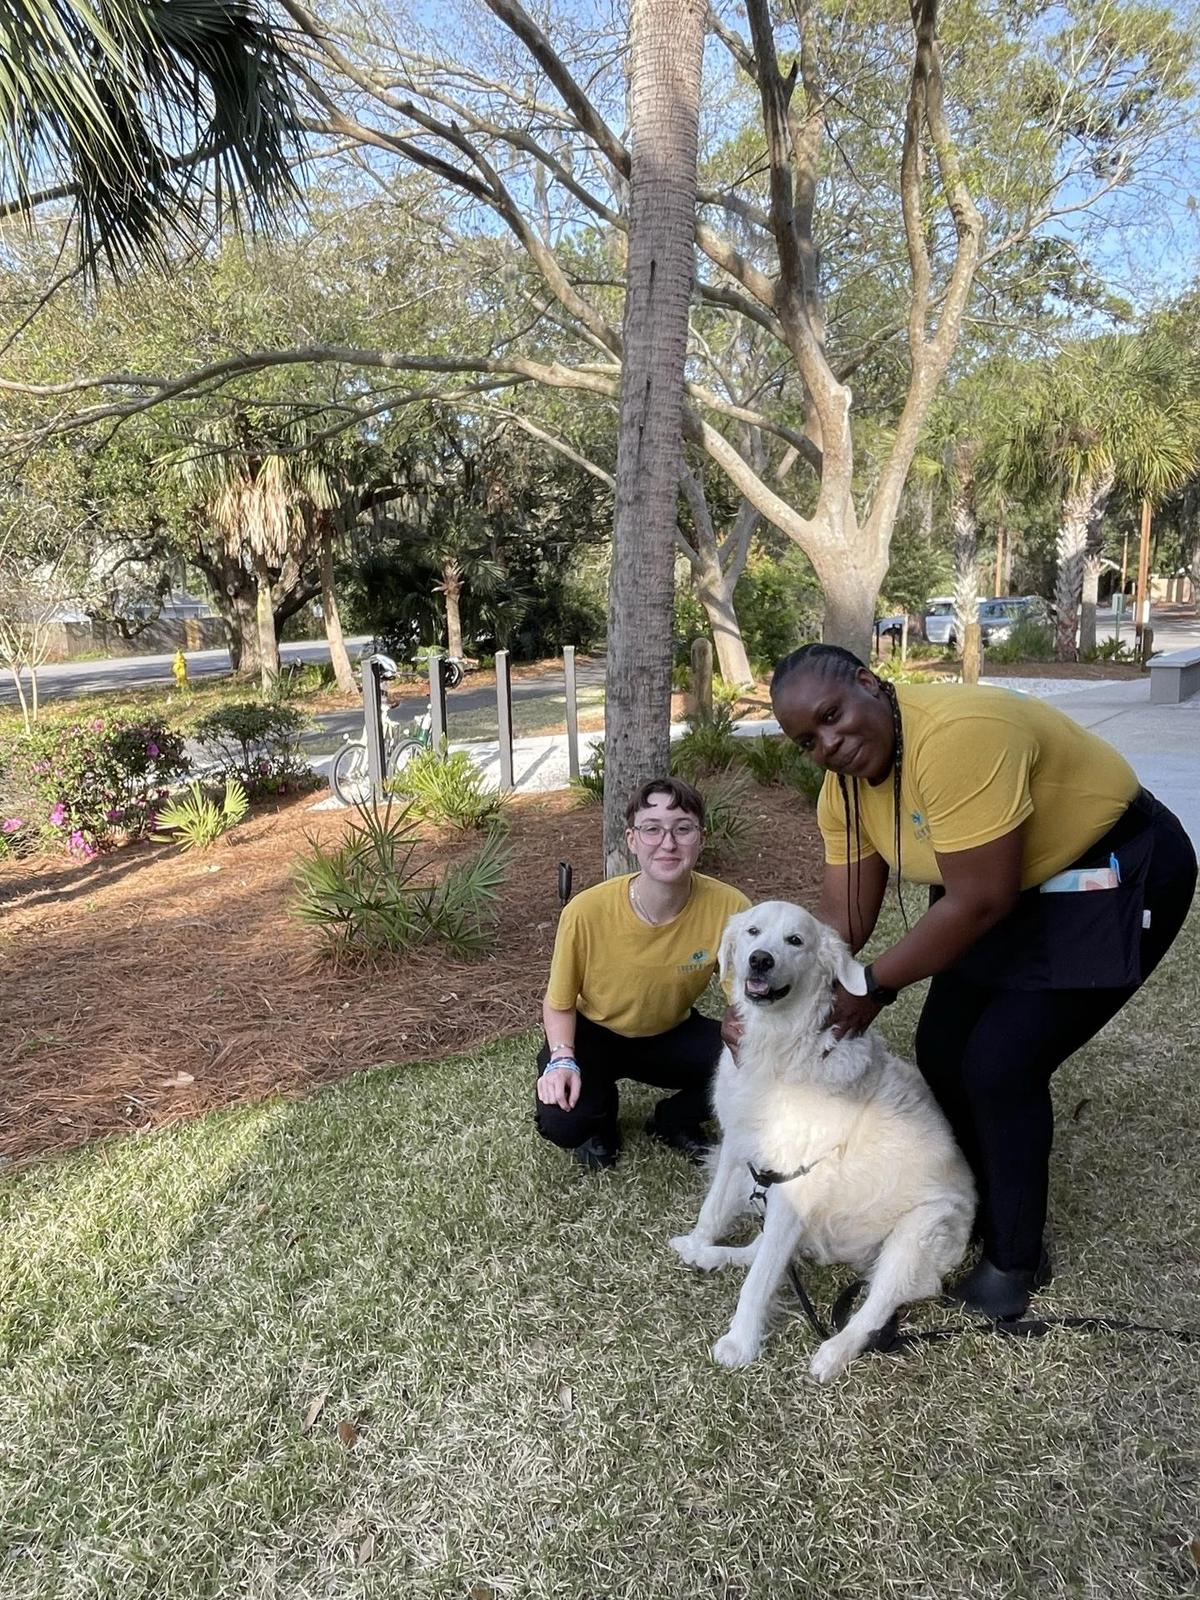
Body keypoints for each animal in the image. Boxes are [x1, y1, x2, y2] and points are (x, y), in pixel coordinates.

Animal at [672, 908, 979, 1382]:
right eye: (753, 931)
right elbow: (714, 1213)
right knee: (764, 1251)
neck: (778, 1045)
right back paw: (711, 1256)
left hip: (915, 1236)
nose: (760, 960)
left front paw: (740, 1343)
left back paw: (832, 1354)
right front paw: (697, 1242)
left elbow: (759, 1282)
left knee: (872, 1310)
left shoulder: (793, 1183)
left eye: (796, 941)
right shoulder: (739, 1148)